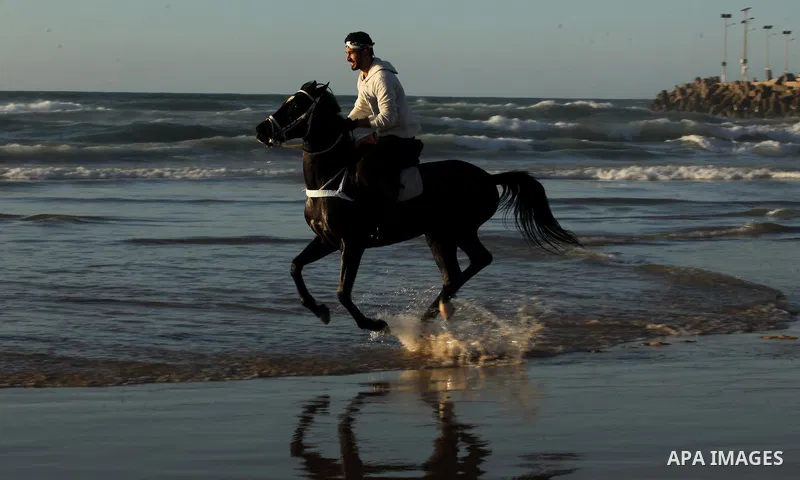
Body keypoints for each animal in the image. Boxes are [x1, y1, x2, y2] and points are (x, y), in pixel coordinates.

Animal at [255, 81, 581, 333]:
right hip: (438, 234)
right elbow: (295, 266)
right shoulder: (327, 240)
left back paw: (435, 311)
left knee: (476, 262)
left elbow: (343, 293)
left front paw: (374, 324)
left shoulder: (353, 243)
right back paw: (436, 311)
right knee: (458, 271)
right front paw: (319, 311)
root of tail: (489, 178)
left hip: (456, 230)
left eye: (297, 106)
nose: (261, 130)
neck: (332, 176)